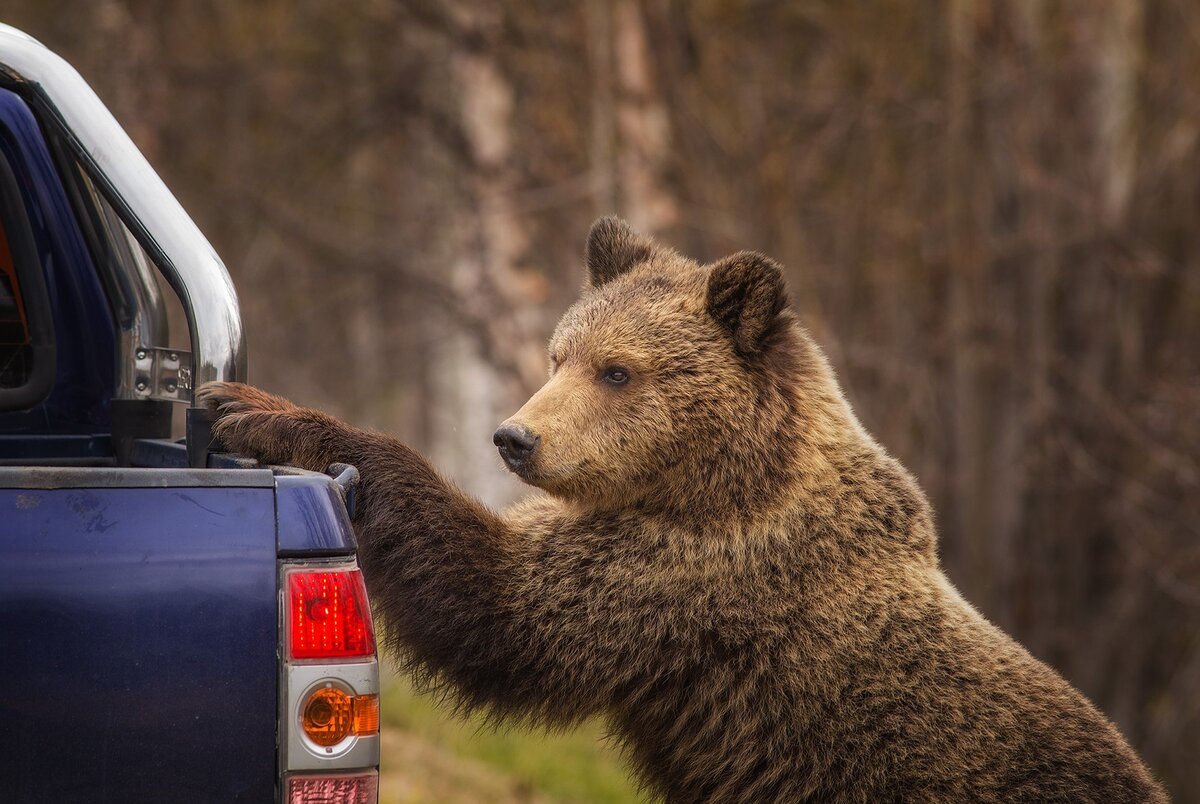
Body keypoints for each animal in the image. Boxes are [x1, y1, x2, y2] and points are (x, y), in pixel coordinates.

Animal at [201, 217, 1166, 801]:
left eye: (617, 369)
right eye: (560, 352)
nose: (515, 437)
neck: (711, 482)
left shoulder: (695, 576)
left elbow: (503, 605)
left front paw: (265, 412)